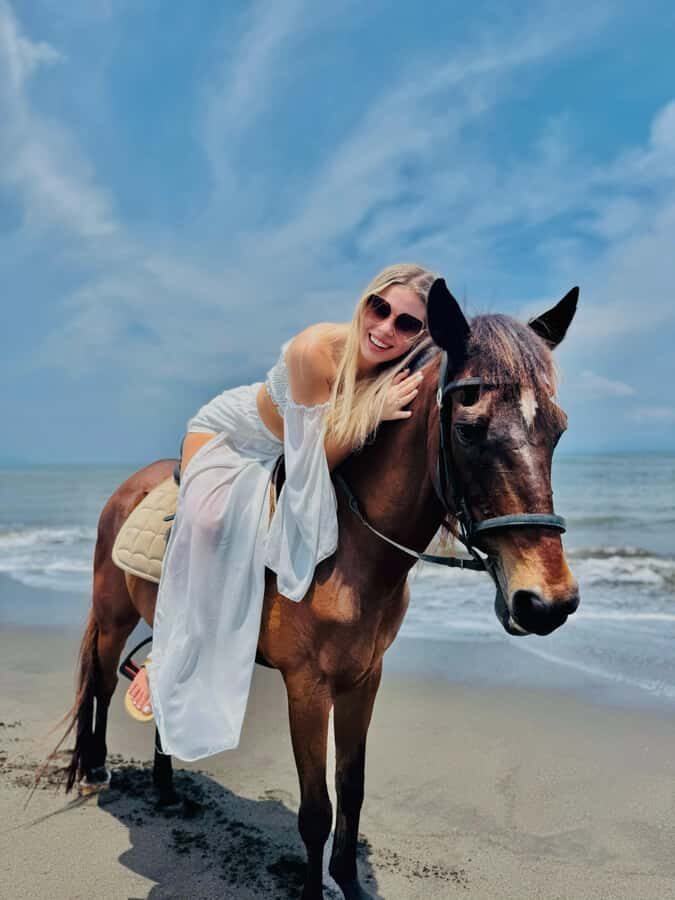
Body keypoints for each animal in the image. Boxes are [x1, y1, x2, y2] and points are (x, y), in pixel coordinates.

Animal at [56, 279, 579, 900]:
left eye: (557, 429)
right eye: (467, 428)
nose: (547, 601)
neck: (351, 553)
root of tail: (128, 487)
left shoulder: (364, 678)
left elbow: (351, 788)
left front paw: (349, 882)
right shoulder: (307, 687)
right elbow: (315, 811)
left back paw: (164, 787)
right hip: (113, 615)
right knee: (102, 683)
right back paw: (94, 772)